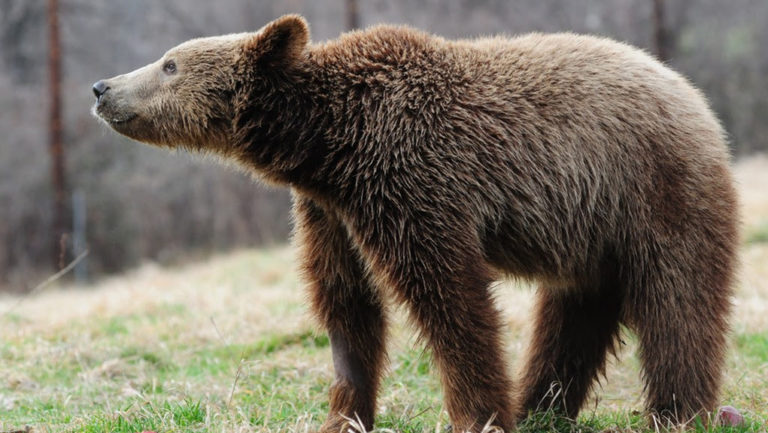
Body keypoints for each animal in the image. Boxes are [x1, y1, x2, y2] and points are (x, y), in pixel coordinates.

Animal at [93, 14, 740, 432]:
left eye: (171, 63)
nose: (102, 86)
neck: (326, 142)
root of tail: (693, 96)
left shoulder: (412, 177)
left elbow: (448, 298)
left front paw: (479, 414)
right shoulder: (330, 210)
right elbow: (346, 304)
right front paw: (345, 415)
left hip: (652, 193)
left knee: (678, 304)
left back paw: (680, 412)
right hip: (589, 234)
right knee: (573, 317)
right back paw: (543, 406)